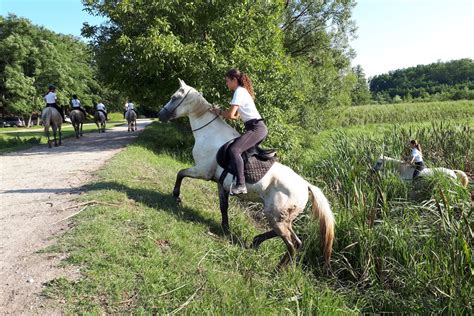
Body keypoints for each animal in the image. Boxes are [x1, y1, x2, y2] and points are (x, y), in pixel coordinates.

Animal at [157, 80, 336, 268]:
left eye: (174, 97)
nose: (160, 115)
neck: (210, 133)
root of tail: (306, 185)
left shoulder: (202, 171)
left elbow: (180, 173)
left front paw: (176, 196)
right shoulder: (220, 183)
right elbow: (223, 206)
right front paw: (225, 228)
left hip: (275, 215)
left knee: (291, 243)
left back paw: (277, 269)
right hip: (282, 217)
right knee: (296, 240)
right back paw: (257, 242)